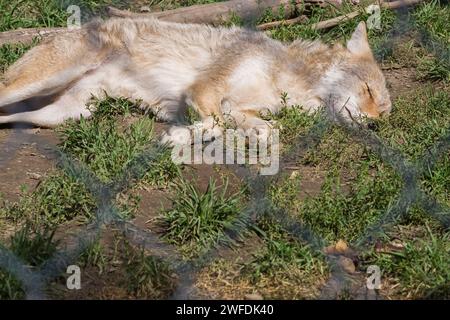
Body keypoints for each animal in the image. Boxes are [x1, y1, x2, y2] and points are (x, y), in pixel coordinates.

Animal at [0, 18, 390, 146]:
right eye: (368, 91)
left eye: (384, 112)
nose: (374, 123)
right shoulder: (203, 90)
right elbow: (215, 123)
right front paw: (179, 136)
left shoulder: (238, 108)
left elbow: (268, 129)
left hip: (67, 114)